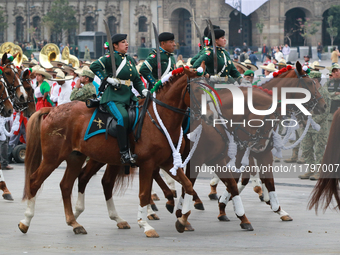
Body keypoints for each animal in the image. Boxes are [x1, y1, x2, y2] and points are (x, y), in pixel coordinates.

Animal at [19, 65, 210, 237]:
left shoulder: (168, 162)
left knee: (67, 185)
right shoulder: (148, 164)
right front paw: (146, 225)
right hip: (53, 158)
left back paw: (75, 222)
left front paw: (182, 220)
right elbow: (144, 194)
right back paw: (25, 221)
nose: (208, 116)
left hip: (76, 157)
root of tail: (52, 109)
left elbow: (188, 186)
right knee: (34, 181)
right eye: (195, 90)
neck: (159, 118)